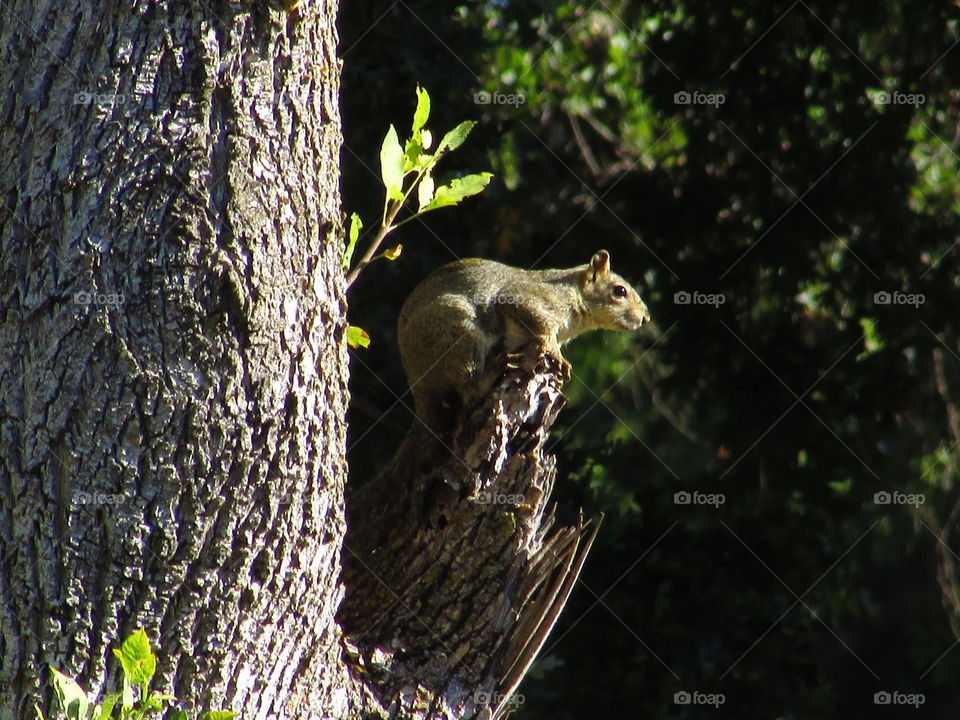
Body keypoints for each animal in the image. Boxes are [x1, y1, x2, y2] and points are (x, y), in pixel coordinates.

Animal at [397, 250, 650, 434]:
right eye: (619, 291)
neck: (573, 293)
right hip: (459, 334)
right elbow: (539, 324)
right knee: (470, 391)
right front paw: (556, 354)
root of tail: (417, 386)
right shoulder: (526, 298)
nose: (645, 318)